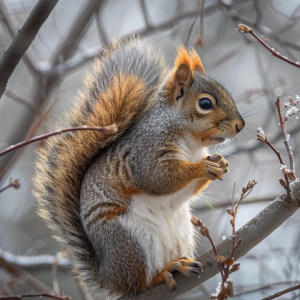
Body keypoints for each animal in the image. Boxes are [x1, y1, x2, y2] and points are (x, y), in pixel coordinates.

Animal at [32, 36, 246, 298]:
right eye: (205, 103)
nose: (240, 125)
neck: (192, 145)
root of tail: (107, 279)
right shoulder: (145, 152)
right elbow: (157, 177)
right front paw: (202, 168)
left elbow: (187, 189)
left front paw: (220, 164)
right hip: (132, 241)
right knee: (139, 282)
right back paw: (164, 272)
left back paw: (178, 264)